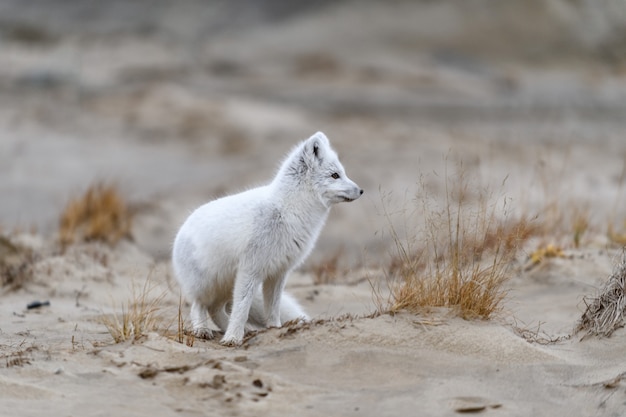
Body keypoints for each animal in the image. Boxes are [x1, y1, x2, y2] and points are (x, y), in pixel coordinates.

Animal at [171, 132, 360, 344]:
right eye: (335, 175)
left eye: (342, 173)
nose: (361, 190)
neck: (289, 211)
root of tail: (181, 231)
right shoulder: (250, 269)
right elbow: (242, 308)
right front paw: (233, 339)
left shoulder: (278, 272)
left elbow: (272, 308)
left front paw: (274, 329)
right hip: (207, 284)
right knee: (199, 306)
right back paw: (203, 330)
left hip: (226, 285)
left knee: (216, 309)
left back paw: (243, 330)